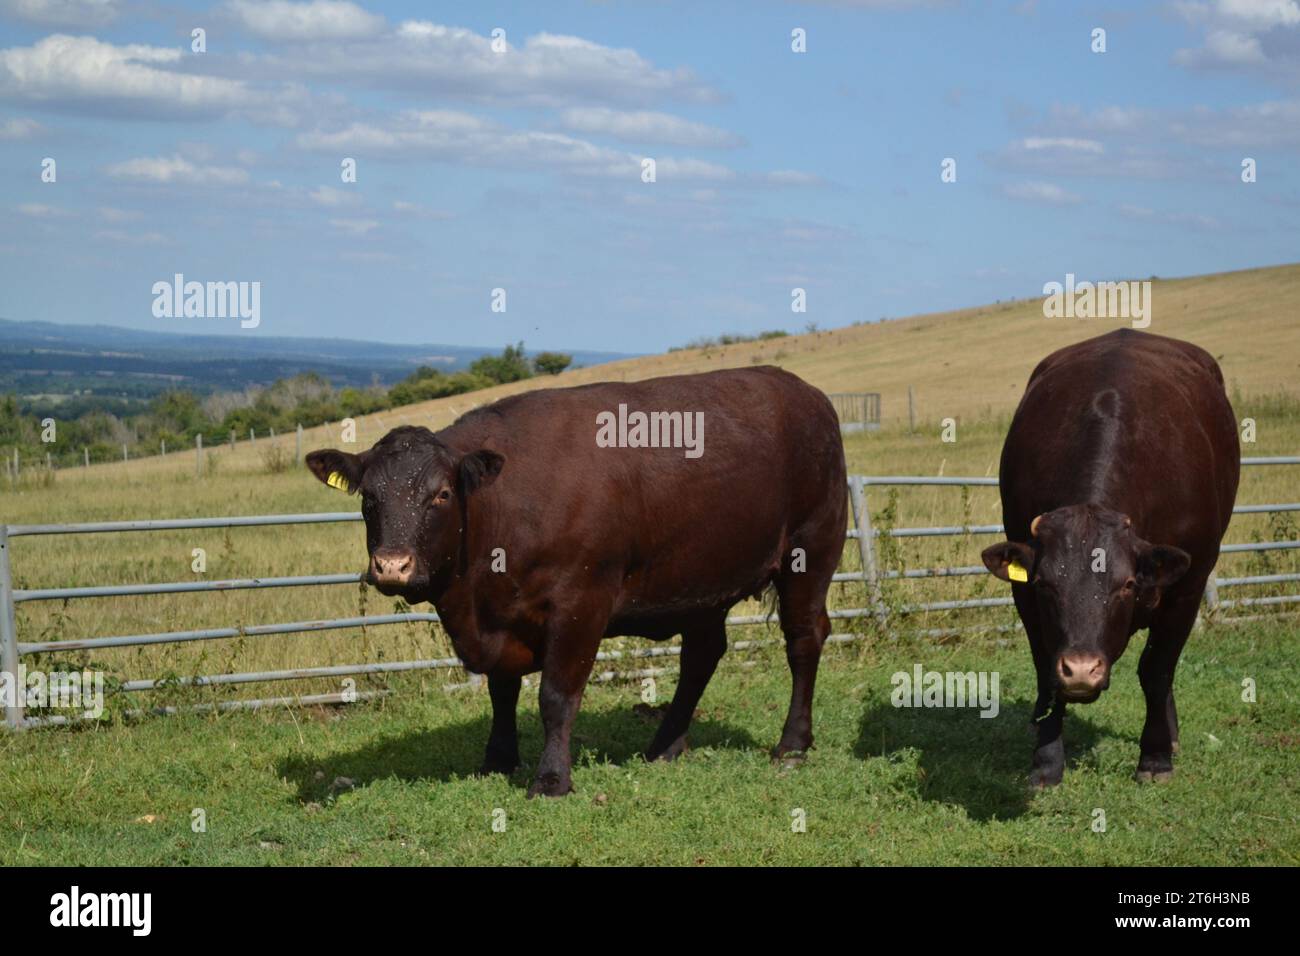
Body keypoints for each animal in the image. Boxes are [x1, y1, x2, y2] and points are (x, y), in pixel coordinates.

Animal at [309, 369, 847, 796]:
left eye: (441, 494)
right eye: (369, 498)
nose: (392, 565)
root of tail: (806, 392)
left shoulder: (580, 604)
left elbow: (556, 696)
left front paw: (551, 780)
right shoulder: (501, 616)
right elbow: (501, 690)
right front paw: (497, 759)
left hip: (810, 552)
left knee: (803, 639)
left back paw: (792, 743)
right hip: (702, 580)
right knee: (702, 656)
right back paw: (665, 745)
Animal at [982, 329, 1237, 785]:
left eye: (1128, 584)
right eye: (1046, 583)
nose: (1082, 670)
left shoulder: (1186, 589)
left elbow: (1157, 670)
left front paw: (1155, 757)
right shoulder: (1025, 595)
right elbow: (1045, 670)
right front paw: (1046, 761)